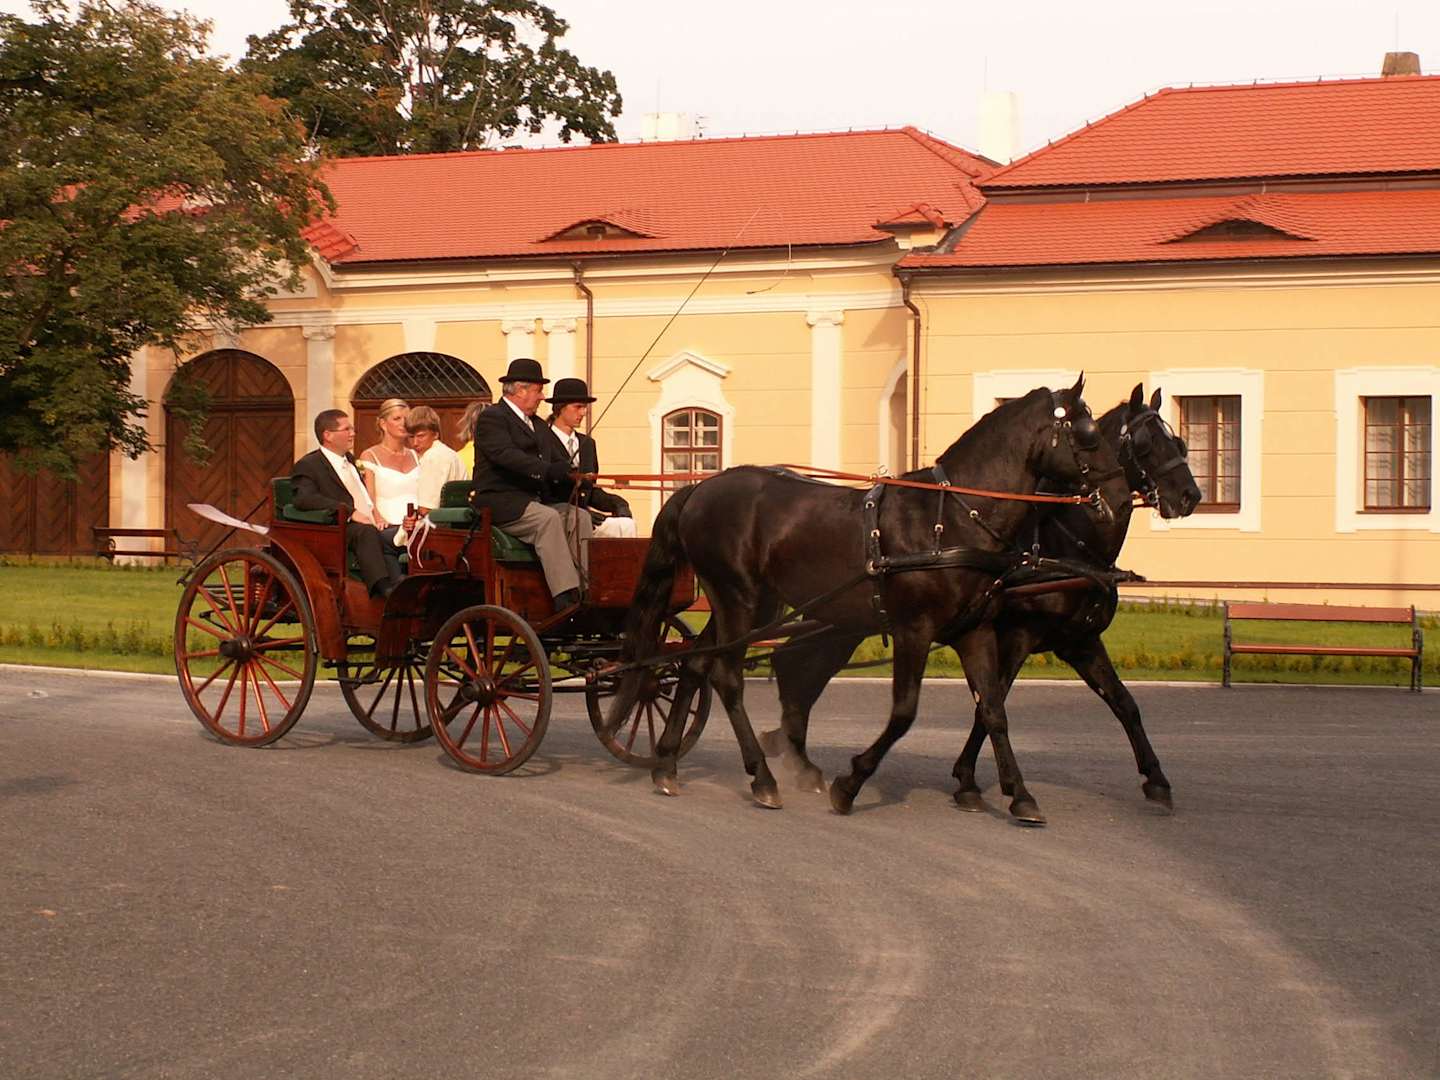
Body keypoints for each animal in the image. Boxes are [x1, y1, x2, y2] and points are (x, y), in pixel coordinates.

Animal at [607, 376, 1133, 822]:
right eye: (1089, 433)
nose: (1121, 495)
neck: (948, 520)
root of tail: (699, 489)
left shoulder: (975, 631)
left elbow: (993, 710)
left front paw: (1018, 794)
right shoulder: (914, 630)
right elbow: (903, 713)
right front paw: (852, 782)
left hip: (748, 605)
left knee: (696, 664)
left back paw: (667, 765)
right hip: (741, 600)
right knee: (726, 676)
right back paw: (762, 777)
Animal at [759, 384, 1202, 819]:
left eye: (1178, 441)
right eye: (1144, 444)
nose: (1189, 496)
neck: (1063, 544)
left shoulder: (1080, 641)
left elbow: (1124, 703)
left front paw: (1156, 780)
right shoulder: (1017, 635)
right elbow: (991, 703)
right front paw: (970, 781)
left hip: (841, 624)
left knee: (793, 664)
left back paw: (789, 749)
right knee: (795, 666)